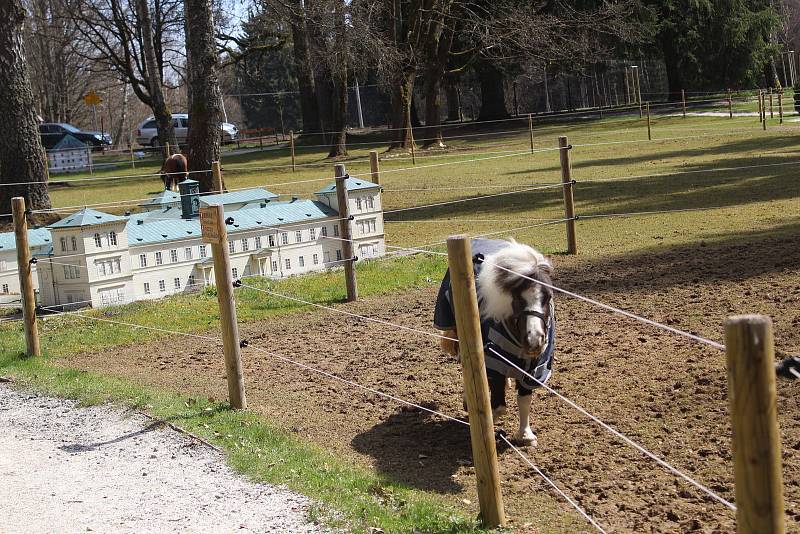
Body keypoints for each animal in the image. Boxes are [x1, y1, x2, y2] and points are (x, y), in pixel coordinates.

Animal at [432, 240, 556, 448]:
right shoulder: (494, 363)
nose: (534, 340)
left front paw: (525, 435)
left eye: (547, 296)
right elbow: (498, 407)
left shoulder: (533, 370)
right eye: (517, 298)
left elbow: (524, 399)